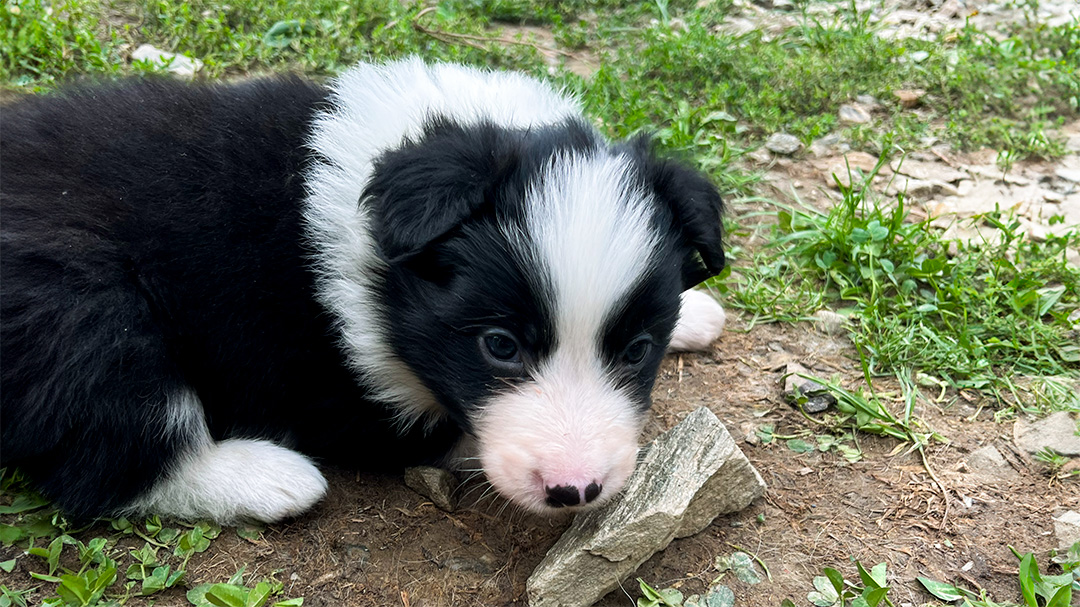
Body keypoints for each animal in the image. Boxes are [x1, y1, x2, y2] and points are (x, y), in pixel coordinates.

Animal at [2, 56, 725, 522]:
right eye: (499, 345)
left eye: (635, 350)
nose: (575, 490)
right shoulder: (329, 382)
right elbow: (441, 429)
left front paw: (694, 310)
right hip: (83, 303)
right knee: (110, 446)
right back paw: (265, 477)